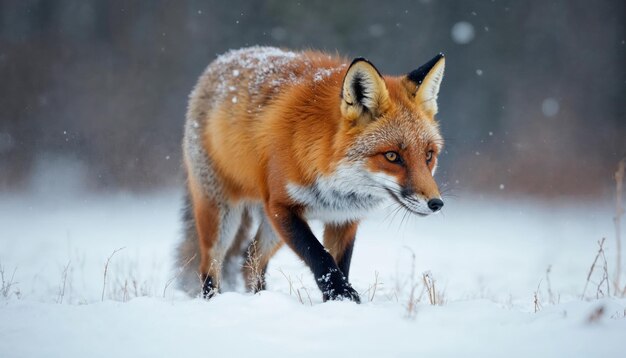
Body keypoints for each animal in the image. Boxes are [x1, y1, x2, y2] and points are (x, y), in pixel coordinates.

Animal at [177, 46, 444, 302]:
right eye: (391, 156)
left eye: (428, 155)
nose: (436, 204)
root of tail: (223, 59)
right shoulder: (281, 206)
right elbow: (319, 256)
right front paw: (342, 295)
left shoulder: (344, 218)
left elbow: (339, 263)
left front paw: (337, 301)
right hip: (223, 215)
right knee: (211, 264)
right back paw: (212, 300)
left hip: (269, 227)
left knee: (250, 257)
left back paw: (261, 297)